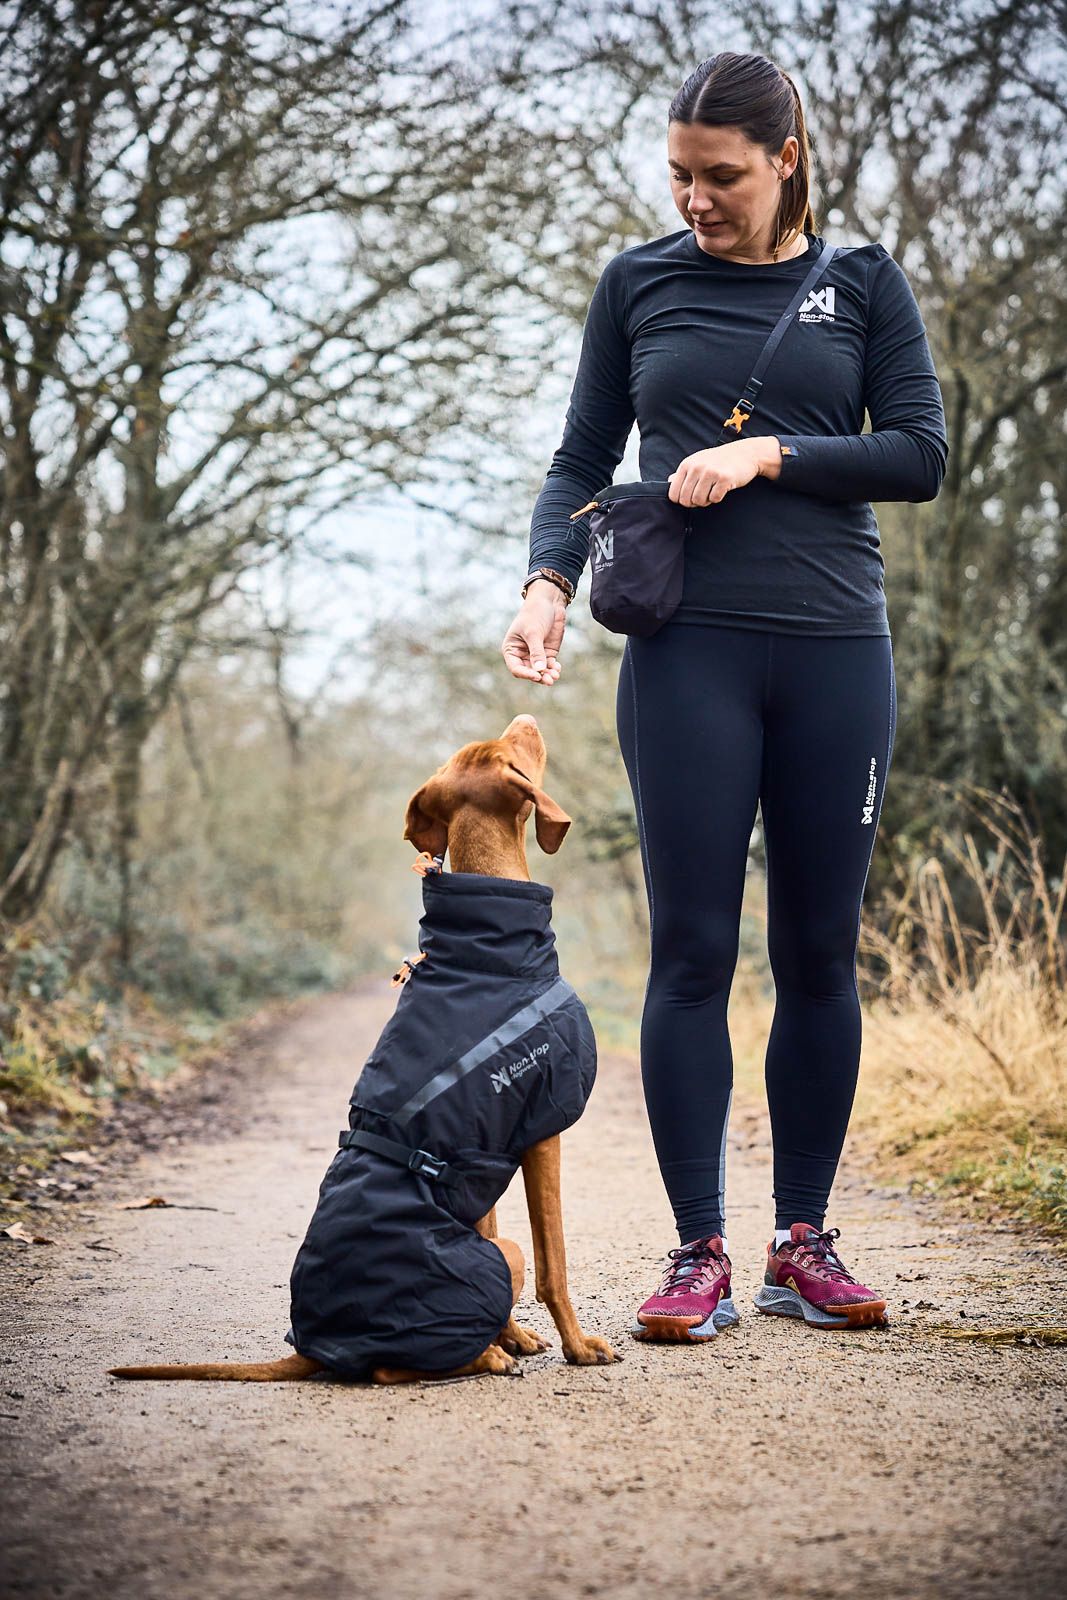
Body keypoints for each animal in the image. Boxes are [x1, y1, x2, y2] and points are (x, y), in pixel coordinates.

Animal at [108, 720, 617, 1382]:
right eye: (511, 751)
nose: (527, 717)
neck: (490, 948)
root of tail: (312, 1347)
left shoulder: (483, 1154)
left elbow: (488, 1220)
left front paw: (518, 1335)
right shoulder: (542, 1130)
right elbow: (555, 1260)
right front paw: (576, 1346)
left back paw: (495, 1344)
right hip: (502, 1254)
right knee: (389, 1367)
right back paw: (485, 1355)